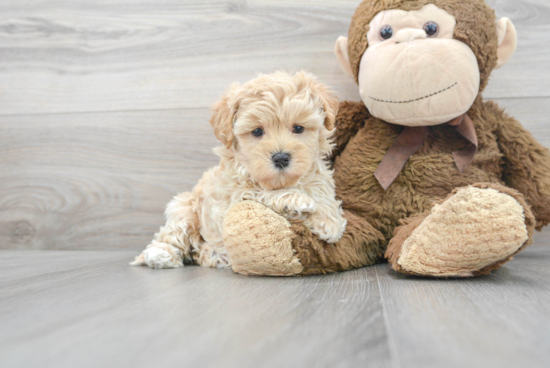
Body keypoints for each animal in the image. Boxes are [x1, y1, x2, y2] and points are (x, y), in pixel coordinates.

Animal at [132, 70, 348, 268]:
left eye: (298, 128)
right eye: (257, 131)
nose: (281, 158)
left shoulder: (317, 173)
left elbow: (321, 190)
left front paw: (329, 221)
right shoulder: (234, 197)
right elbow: (260, 192)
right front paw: (295, 199)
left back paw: (212, 255)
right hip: (185, 209)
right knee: (170, 236)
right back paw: (161, 254)